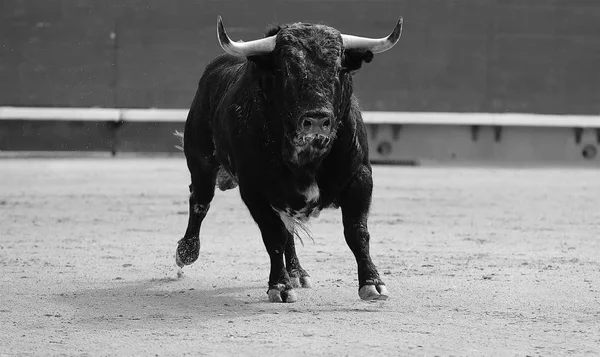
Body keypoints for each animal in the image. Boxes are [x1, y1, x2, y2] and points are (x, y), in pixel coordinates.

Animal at [176, 15, 406, 302]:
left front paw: (372, 283)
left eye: (339, 68)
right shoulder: (255, 189)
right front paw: (280, 286)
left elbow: (356, 232)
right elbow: (272, 236)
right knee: (200, 201)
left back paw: (297, 272)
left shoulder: (361, 177)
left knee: (289, 231)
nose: (317, 119)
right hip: (201, 161)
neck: (307, 158)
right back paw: (186, 252)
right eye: (286, 71)